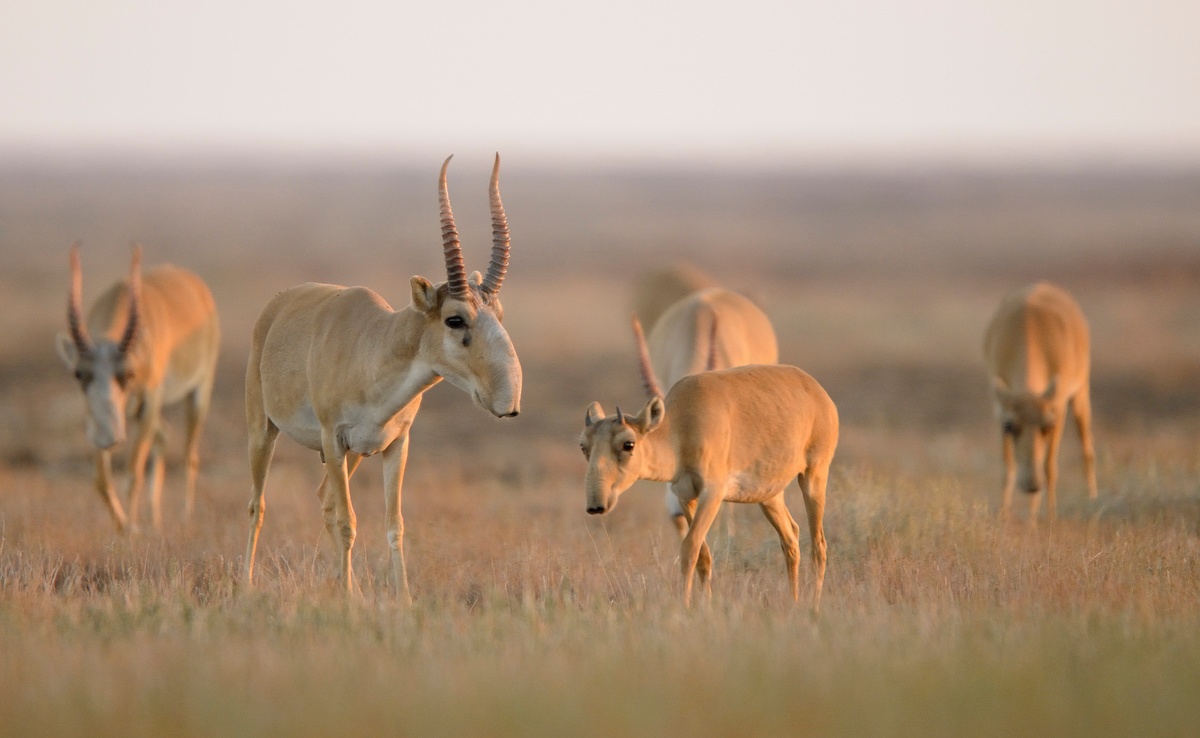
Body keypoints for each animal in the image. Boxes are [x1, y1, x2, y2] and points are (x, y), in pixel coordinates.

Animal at [56, 246, 222, 535]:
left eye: (129, 374)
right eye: (78, 373)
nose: (110, 437)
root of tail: (195, 285)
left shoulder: (149, 403)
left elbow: (134, 473)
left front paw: (132, 530)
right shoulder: (96, 417)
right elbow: (101, 479)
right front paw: (123, 528)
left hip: (198, 392)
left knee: (190, 455)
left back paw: (184, 517)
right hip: (135, 413)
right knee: (164, 435)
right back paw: (154, 519)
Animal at [242, 153, 520, 597]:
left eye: (499, 313)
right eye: (454, 318)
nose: (508, 401)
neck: (374, 346)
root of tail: (277, 306)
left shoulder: (396, 445)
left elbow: (394, 525)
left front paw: (400, 598)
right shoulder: (333, 439)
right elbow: (348, 521)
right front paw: (349, 600)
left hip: (353, 455)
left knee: (324, 499)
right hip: (264, 431)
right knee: (258, 504)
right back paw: (246, 584)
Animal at [578, 324, 835, 612]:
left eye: (628, 444)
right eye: (584, 446)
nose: (596, 506)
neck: (681, 427)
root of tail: (817, 390)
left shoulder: (712, 494)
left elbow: (689, 548)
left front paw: (685, 605)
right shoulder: (685, 496)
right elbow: (703, 554)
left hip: (814, 476)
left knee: (819, 544)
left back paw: (813, 604)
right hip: (769, 496)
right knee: (791, 538)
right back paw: (793, 600)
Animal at [984, 279, 1099, 523]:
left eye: (1048, 425)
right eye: (1009, 425)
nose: (1032, 485)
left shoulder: (1059, 408)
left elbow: (1049, 466)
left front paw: (1049, 517)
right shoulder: (999, 409)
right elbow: (1007, 467)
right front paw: (1004, 515)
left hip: (1081, 393)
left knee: (1087, 449)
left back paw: (1092, 500)